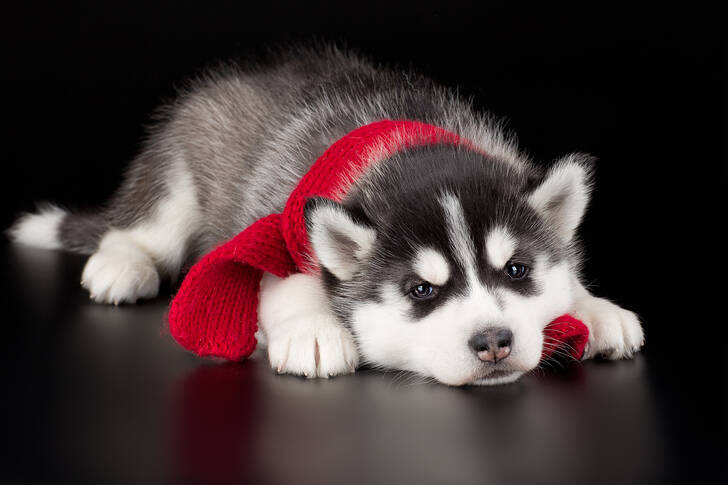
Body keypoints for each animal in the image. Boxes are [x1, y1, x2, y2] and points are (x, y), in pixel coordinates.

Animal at [7, 47, 644, 384]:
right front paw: (314, 329)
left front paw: (594, 307)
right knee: (145, 225)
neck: (403, 151)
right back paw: (123, 262)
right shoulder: (276, 209)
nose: (493, 341)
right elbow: (285, 275)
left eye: (516, 271)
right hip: (181, 170)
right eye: (420, 290)